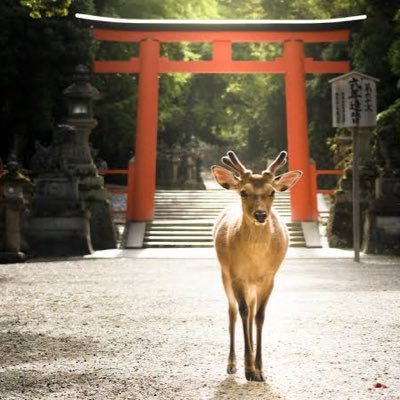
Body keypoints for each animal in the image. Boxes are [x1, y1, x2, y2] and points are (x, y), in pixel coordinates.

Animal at [211, 150, 302, 382]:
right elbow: (242, 312)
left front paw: (259, 369)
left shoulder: (269, 278)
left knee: (252, 313)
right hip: (225, 275)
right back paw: (232, 364)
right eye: (244, 192)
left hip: (253, 285)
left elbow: (260, 317)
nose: (261, 215)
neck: (255, 259)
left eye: (272, 192)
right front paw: (249, 368)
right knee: (233, 313)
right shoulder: (236, 275)